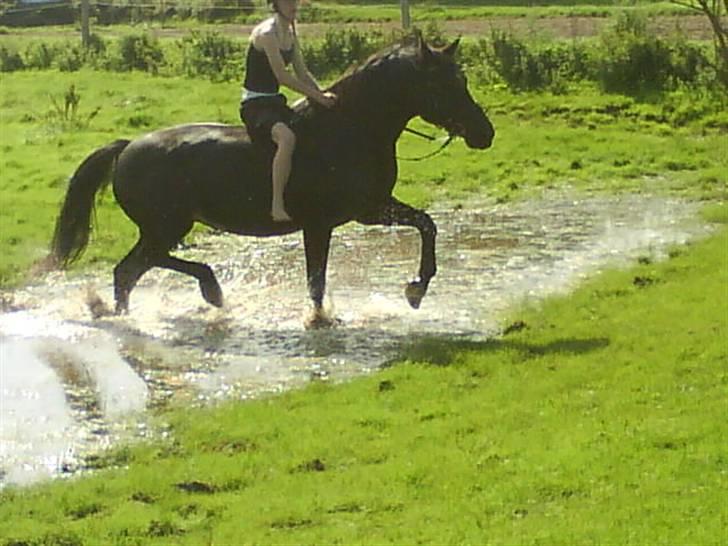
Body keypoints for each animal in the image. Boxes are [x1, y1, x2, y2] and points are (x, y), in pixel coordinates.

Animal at [49, 34, 494, 324]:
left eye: (463, 80)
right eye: (442, 83)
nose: (484, 133)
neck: (350, 128)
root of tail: (126, 148)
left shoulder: (370, 209)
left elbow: (426, 224)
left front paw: (415, 290)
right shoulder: (324, 223)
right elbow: (316, 280)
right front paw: (320, 319)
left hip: (165, 228)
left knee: (132, 272)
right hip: (164, 227)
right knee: (132, 269)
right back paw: (199, 295)